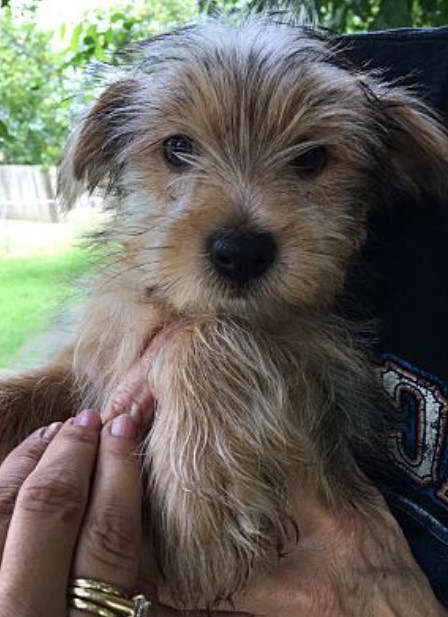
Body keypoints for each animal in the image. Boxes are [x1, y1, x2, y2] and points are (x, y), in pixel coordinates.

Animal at [0, 10, 448, 612]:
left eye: (312, 157)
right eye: (177, 147)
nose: (241, 252)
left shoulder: (334, 378)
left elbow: (207, 335)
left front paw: (204, 505)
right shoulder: (96, 360)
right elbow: (38, 384)